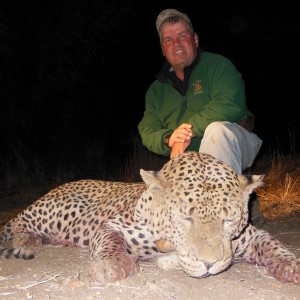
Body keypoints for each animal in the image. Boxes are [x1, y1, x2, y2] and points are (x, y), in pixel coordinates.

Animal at [0, 151, 298, 284]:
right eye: (185, 218)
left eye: (228, 220)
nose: (210, 264)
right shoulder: (112, 225)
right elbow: (111, 243)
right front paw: (113, 265)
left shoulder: (250, 236)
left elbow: (274, 245)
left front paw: (292, 267)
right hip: (56, 211)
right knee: (19, 220)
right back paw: (26, 242)